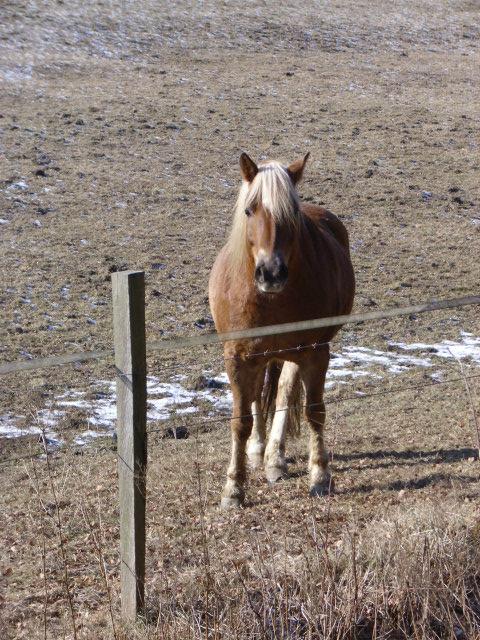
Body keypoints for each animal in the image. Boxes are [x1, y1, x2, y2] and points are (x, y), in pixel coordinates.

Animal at [208, 152, 354, 508]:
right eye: (250, 210)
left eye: (292, 214)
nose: (271, 273)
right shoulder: (238, 356)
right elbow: (240, 420)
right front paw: (234, 487)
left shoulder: (314, 352)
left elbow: (313, 411)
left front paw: (320, 476)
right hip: (262, 355)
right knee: (259, 397)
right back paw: (259, 450)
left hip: (290, 353)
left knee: (284, 393)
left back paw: (275, 457)